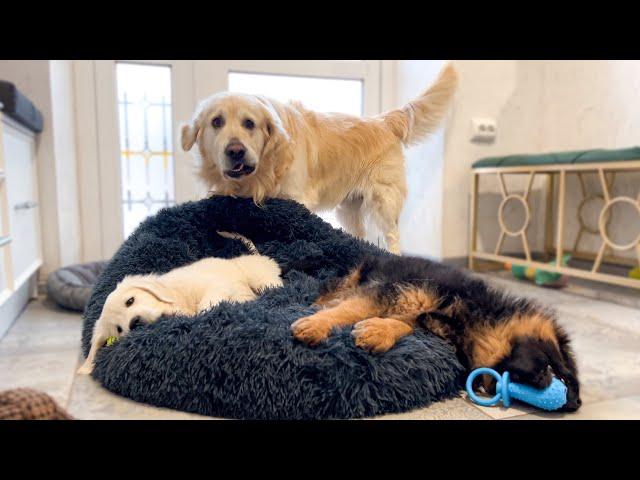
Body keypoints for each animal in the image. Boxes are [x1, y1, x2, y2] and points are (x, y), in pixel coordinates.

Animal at [78, 232, 282, 376]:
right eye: (119, 330)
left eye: (130, 301)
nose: (134, 323)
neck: (179, 301)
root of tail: (259, 256)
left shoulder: (215, 284)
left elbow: (208, 301)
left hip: (259, 277)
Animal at [182, 62, 458, 253]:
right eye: (216, 122)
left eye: (249, 123)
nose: (235, 150)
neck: (265, 171)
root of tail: (382, 120)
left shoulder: (295, 200)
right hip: (349, 208)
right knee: (359, 235)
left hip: (384, 200)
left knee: (392, 236)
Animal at [292, 255, 584, 412]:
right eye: (559, 372)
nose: (576, 404)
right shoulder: (390, 291)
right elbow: (350, 309)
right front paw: (316, 325)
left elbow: (410, 323)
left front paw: (379, 330)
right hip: (357, 276)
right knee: (334, 292)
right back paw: (319, 305)